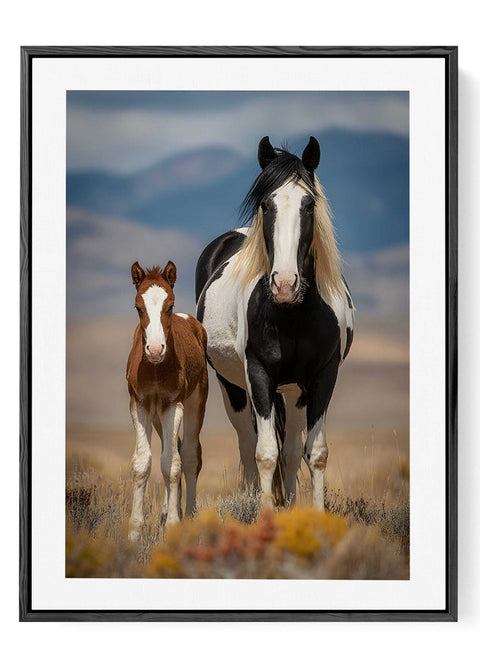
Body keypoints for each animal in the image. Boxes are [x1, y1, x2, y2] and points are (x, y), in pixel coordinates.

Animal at [126, 260, 208, 539]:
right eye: (138, 307)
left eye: (169, 305)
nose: (154, 350)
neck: (154, 369)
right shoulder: (140, 405)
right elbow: (143, 464)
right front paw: (134, 533)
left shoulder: (174, 405)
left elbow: (172, 464)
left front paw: (174, 525)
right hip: (158, 415)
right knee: (174, 448)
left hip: (195, 403)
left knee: (190, 455)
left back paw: (190, 516)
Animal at [195, 136, 354, 509]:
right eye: (266, 205)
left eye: (309, 205)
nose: (284, 284)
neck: (292, 315)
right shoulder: (258, 374)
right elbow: (265, 452)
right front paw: (266, 513)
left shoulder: (324, 375)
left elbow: (315, 452)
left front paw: (312, 514)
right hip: (233, 387)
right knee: (247, 442)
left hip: (295, 392)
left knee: (292, 449)